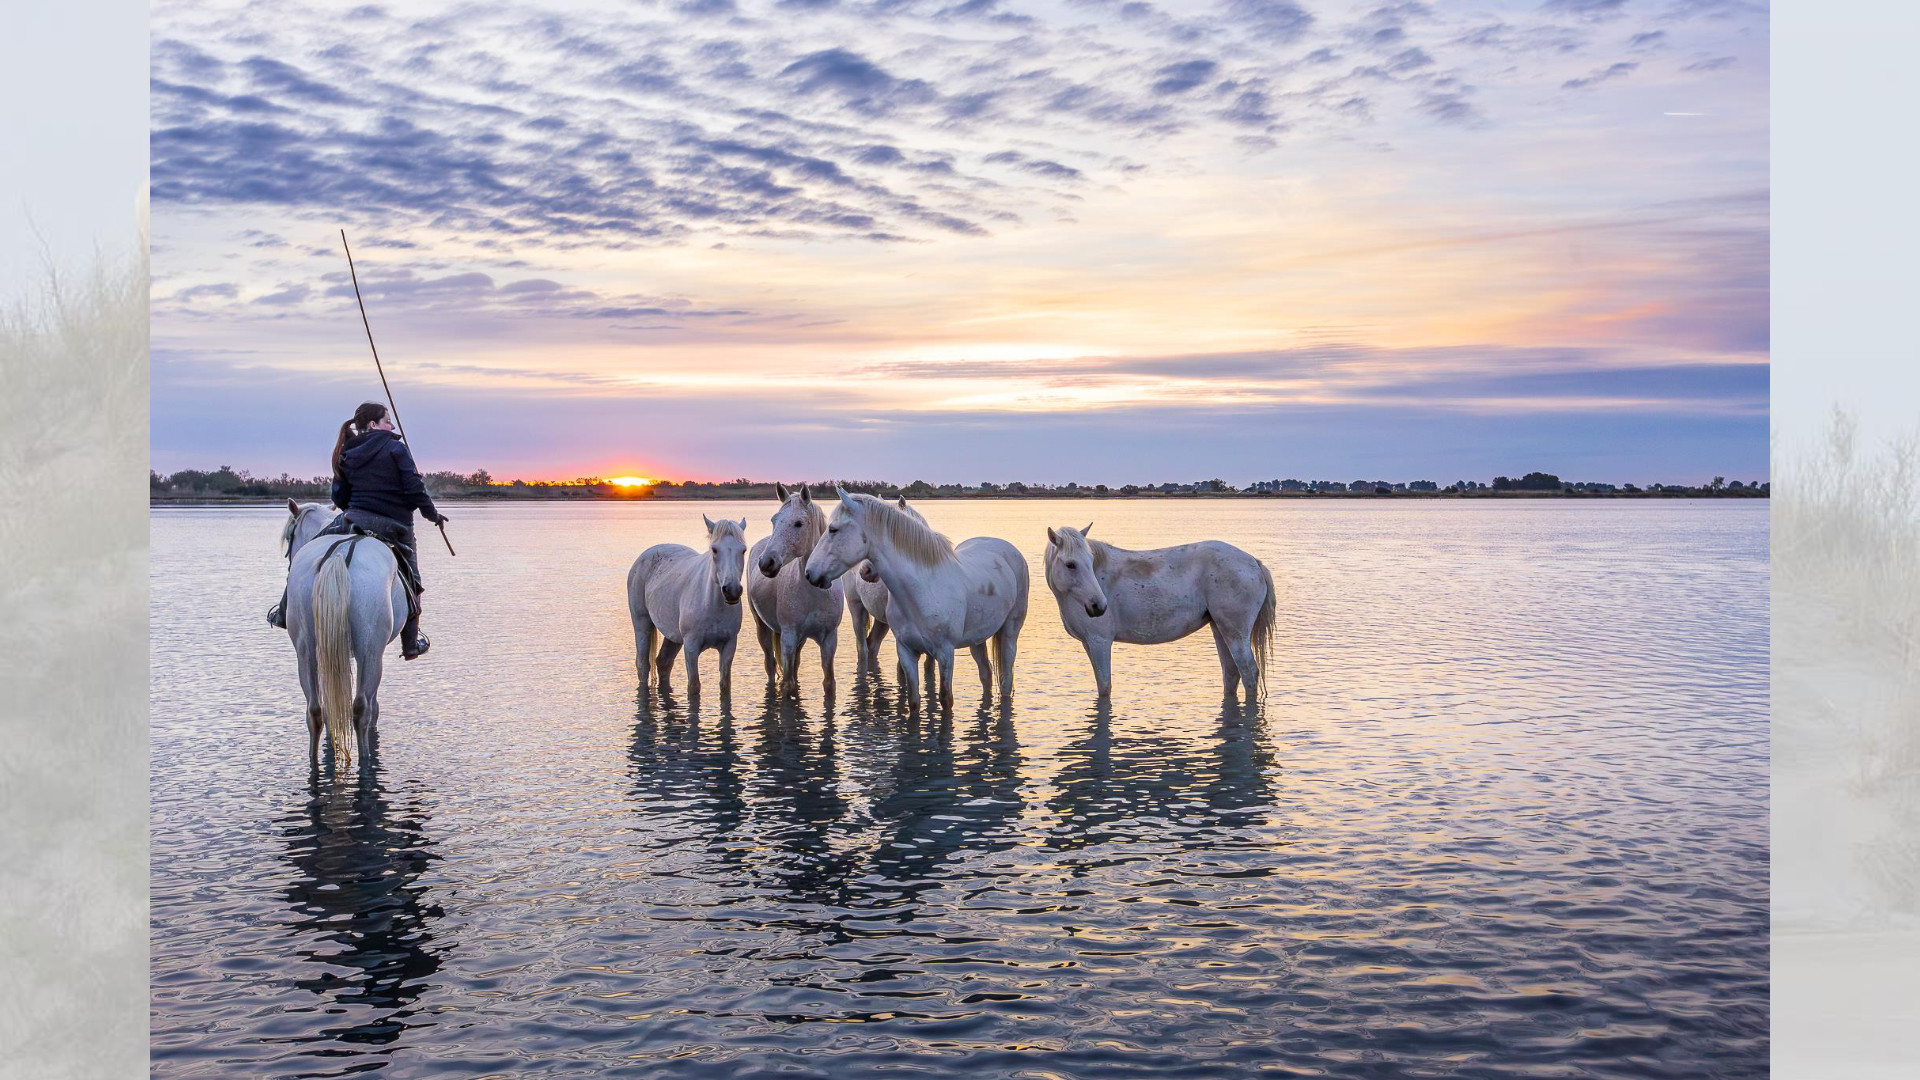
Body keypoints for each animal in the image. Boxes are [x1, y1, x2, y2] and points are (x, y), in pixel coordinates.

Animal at [629, 511, 748, 699]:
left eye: (743, 550)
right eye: (714, 549)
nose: (732, 590)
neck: (712, 605)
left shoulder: (729, 647)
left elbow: (725, 685)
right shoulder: (691, 648)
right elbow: (694, 686)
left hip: (673, 636)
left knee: (663, 662)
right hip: (642, 625)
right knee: (642, 665)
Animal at [748, 484, 840, 691]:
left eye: (798, 523)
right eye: (774, 520)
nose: (766, 563)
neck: (816, 593)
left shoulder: (829, 640)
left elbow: (829, 682)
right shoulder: (788, 637)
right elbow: (788, 683)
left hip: (800, 639)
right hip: (762, 628)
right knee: (770, 665)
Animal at [802, 490, 1029, 711]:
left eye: (833, 529)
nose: (810, 573)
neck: (921, 588)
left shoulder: (945, 653)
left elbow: (945, 699)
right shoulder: (906, 651)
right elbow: (913, 701)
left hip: (1009, 632)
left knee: (1006, 680)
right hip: (976, 639)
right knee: (986, 674)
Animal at [1044, 522, 1267, 699]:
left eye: (1090, 562)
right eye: (1070, 564)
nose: (1098, 606)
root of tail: (1254, 563)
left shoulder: (1100, 642)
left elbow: (1104, 687)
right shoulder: (1088, 643)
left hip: (1235, 634)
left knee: (1248, 672)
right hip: (1220, 629)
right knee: (1231, 673)